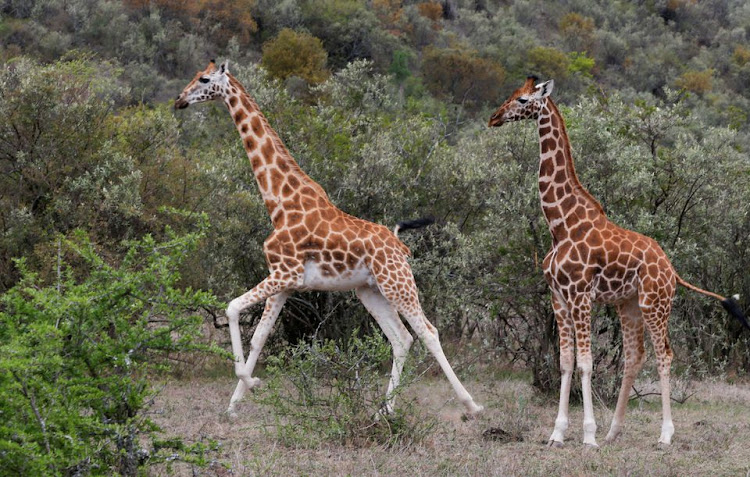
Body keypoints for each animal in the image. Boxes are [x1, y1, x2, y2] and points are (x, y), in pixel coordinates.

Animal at [175, 59, 482, 416]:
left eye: (204, 79)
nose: (179, 100)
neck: (278, 203)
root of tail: (398, 242)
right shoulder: (285, 281)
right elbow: (259, 336)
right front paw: (235, 404)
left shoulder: (285, 273)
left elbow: (232, 307)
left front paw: (250, 384)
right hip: (369, 290)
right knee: (401, 338)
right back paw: (384, 411)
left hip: (397, 283)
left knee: (428, 332)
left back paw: (471, 405)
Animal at [490, 77, 748, 446]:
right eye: (511, 95)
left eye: (523, 99)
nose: (494, 117)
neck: (560, 224)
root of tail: (672, 270)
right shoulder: (558, 297)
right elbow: (565, 361)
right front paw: (558, 433)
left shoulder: (581, 295)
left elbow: (586, 363)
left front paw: (588, 436)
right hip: (629, 304)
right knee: (634, 356)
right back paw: (614, 430)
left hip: (656, 303)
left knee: (664, 354)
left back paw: (664, 435)